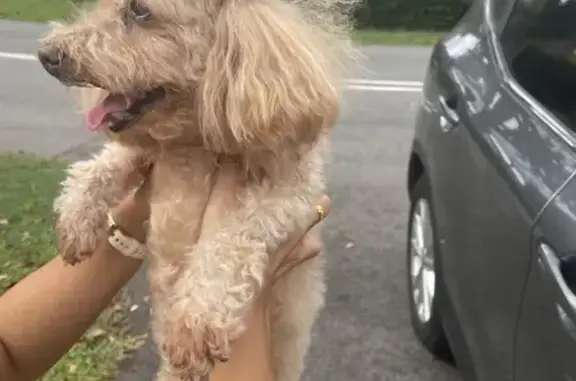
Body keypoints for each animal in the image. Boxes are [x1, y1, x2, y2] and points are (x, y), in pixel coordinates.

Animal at [36, 0, 358, 378]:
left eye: (140, 12)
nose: (46, 55)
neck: (194, 144)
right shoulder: (145, 152)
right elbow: (101, 167)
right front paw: (76, 220)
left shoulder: (289, 193)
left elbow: (231, 238)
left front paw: (196, 320)